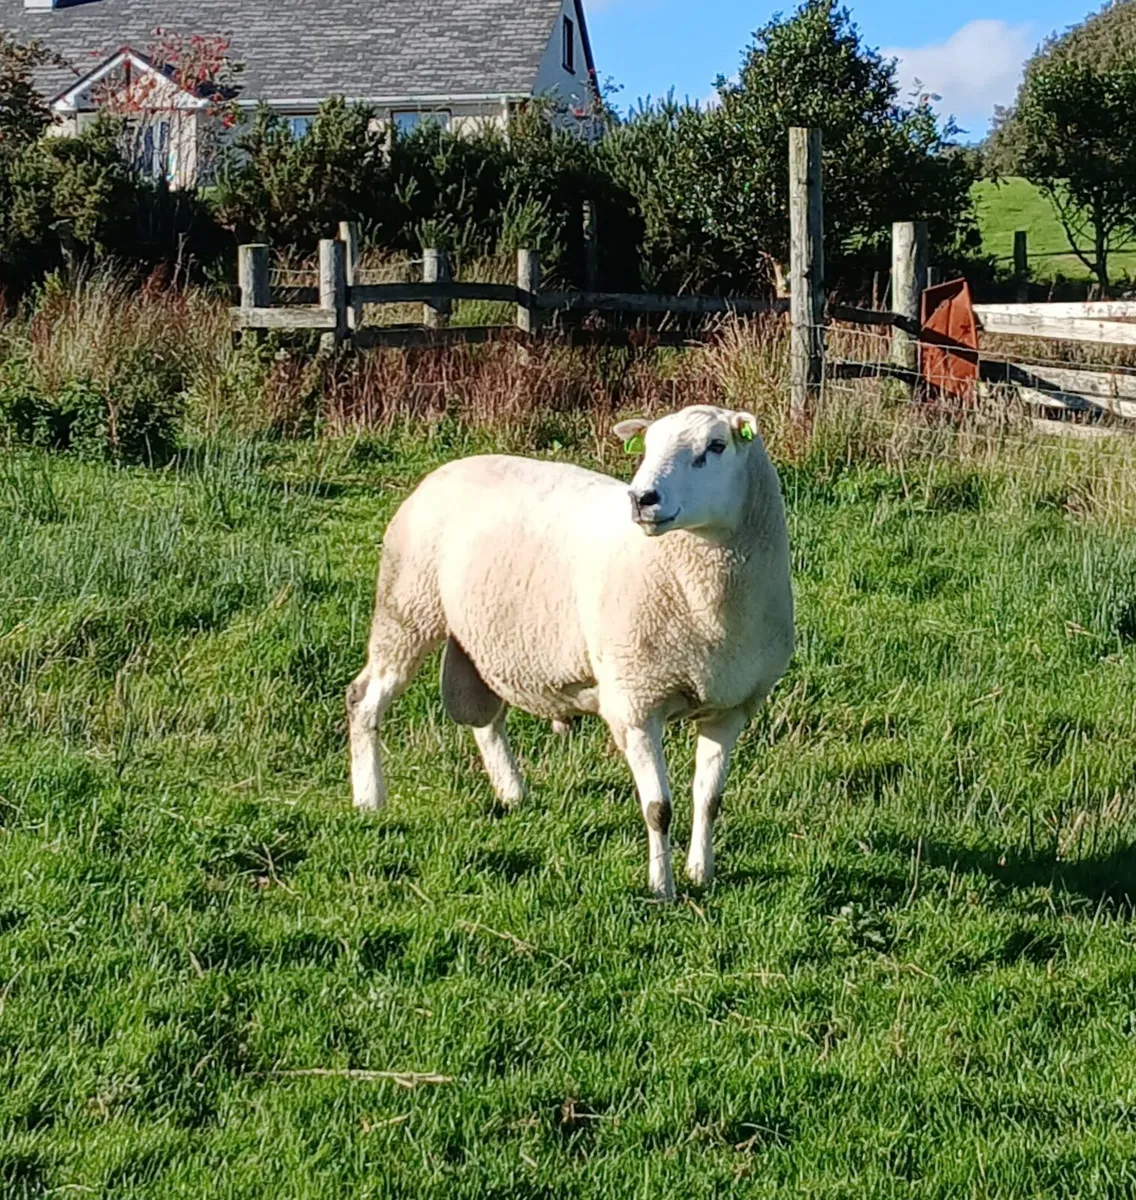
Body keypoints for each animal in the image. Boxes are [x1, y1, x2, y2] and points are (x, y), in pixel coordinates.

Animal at [346, 404, 794, 901]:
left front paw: (701, 872)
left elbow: (710, 799)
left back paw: (511, 793)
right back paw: (370, 798)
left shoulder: (730, 707)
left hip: (488, 636)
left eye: (715, 447)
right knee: (364, 699)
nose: (642, 499)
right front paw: (662, 888)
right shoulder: (635, 703)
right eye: (647, 447)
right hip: (406, 607)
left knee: (485, 718)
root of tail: (450, 467)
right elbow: (658, 808)